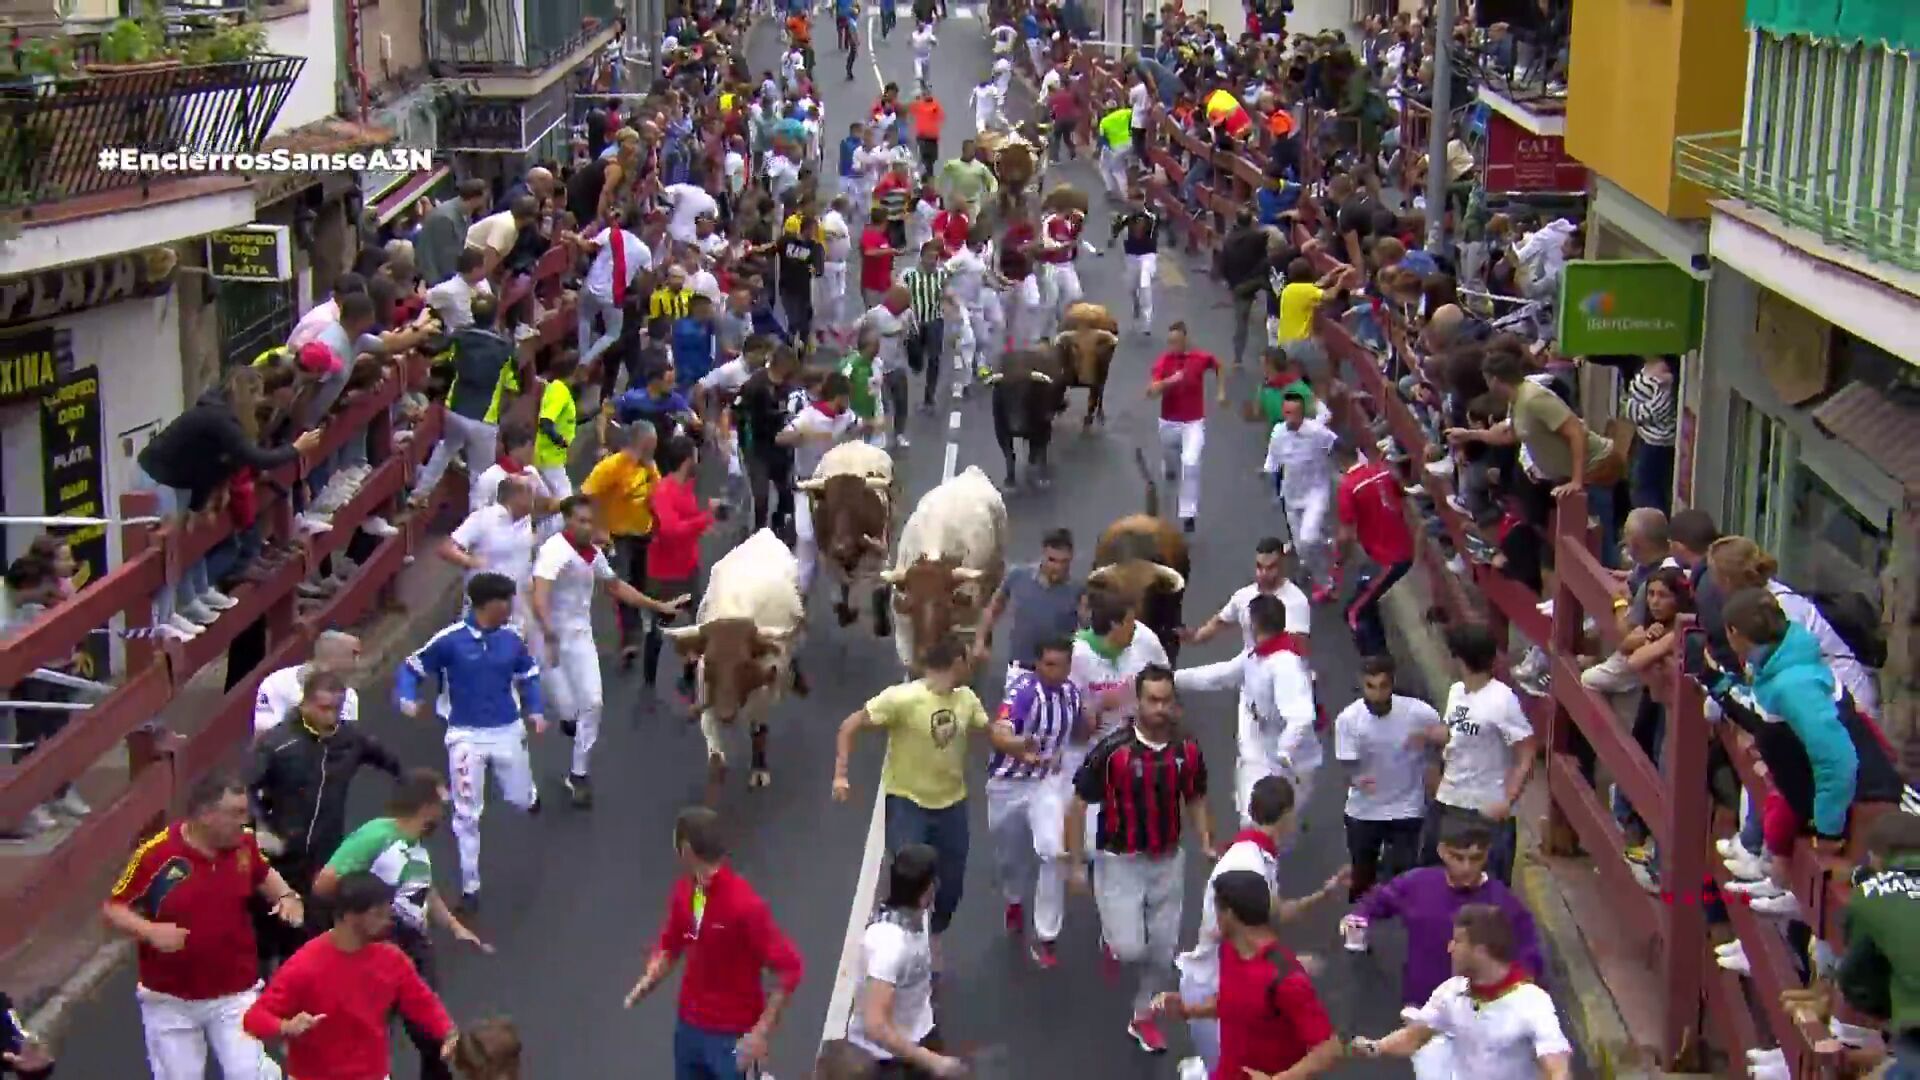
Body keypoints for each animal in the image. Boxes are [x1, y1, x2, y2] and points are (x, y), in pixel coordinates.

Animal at [668, 526, 802, 787]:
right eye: (710, 663)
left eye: (744, 665)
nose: (726, 714)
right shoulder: (707, 698)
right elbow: (715, 755)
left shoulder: (763, 696)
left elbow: (759, 731)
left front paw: (759, 769)